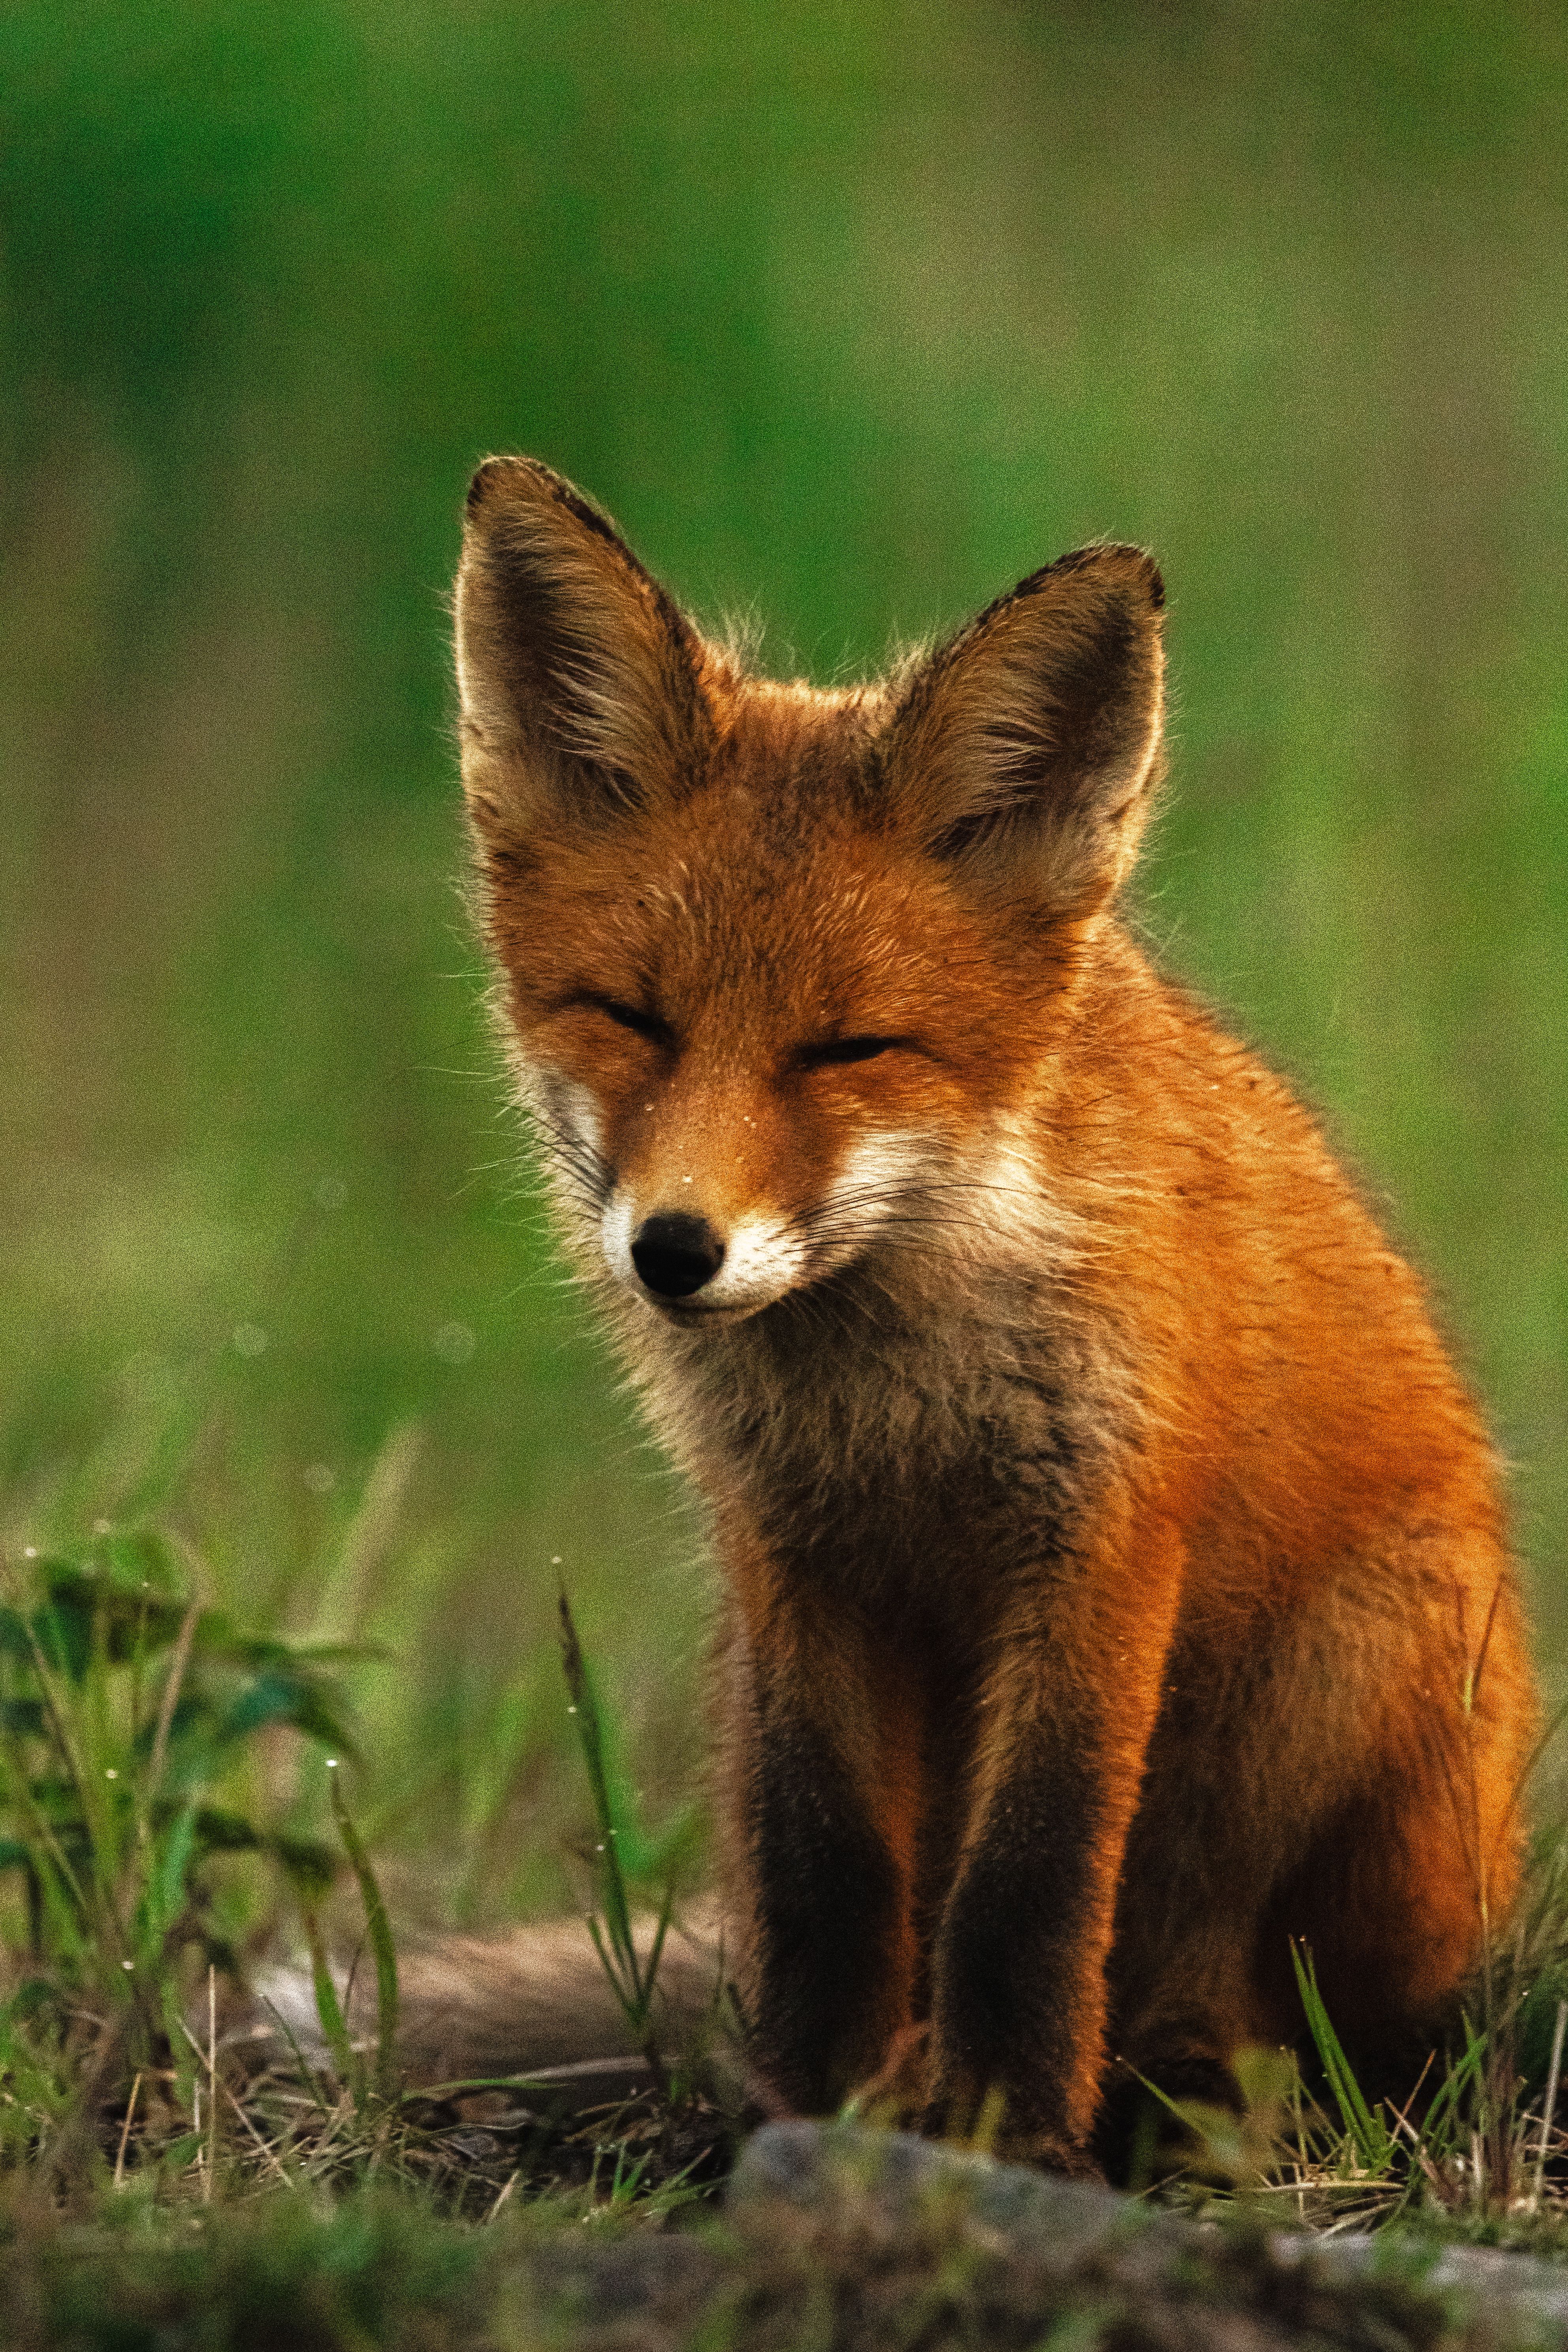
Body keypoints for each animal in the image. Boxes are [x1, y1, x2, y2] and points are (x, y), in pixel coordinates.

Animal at [446, 453, 1536, 2175]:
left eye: (846, 1048)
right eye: (629, 1018)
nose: (674, 1252)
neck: (891, 1387)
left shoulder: (1095, 1546)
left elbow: (1024, 1892)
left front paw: (999, 2144)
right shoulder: (795, 1562)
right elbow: (834, 1882)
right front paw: (822, 2120)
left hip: (1355, 1683)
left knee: (1293, 2011)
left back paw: (1197, 2104)